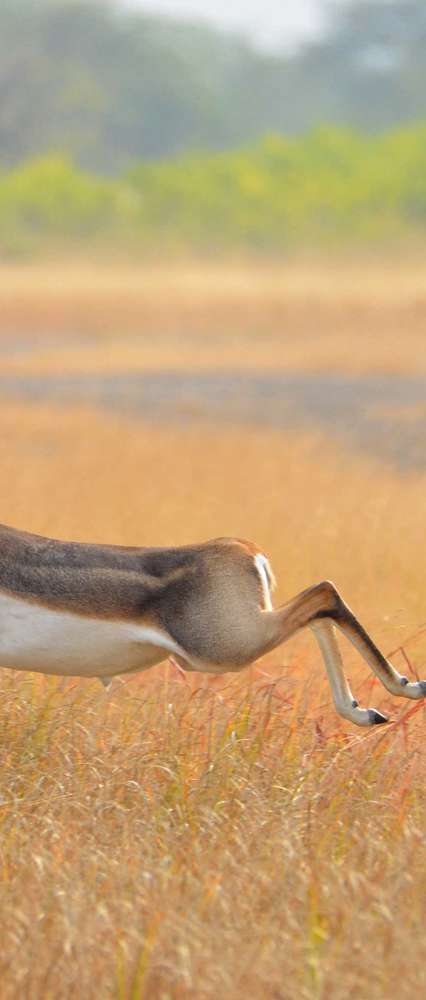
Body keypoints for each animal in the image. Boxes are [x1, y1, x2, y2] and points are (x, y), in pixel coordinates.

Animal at [0, 524, 426, 728]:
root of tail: (245, 549)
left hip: (225, 647)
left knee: (324, 594)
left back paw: (407, 688)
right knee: (321, 609)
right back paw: (366, 710)